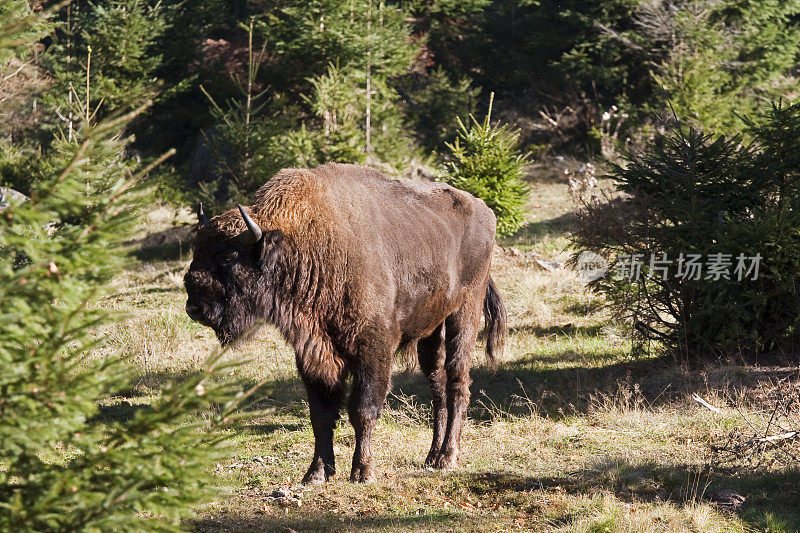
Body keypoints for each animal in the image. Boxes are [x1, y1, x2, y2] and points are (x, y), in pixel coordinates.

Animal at [186, 162, 506, 482]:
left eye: (229, 256)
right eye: (196, 249)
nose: (194, 306)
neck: (306, 243)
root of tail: (485, 210)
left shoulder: (373, 348)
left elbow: (363, 409)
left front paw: (362, 471)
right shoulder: (314, 352)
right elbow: (321, 414)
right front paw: (316, 473)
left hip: (464, 312)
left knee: (458, 381)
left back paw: (448, 457)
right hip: (431, 327)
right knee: (436, 383)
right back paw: (432, 456)